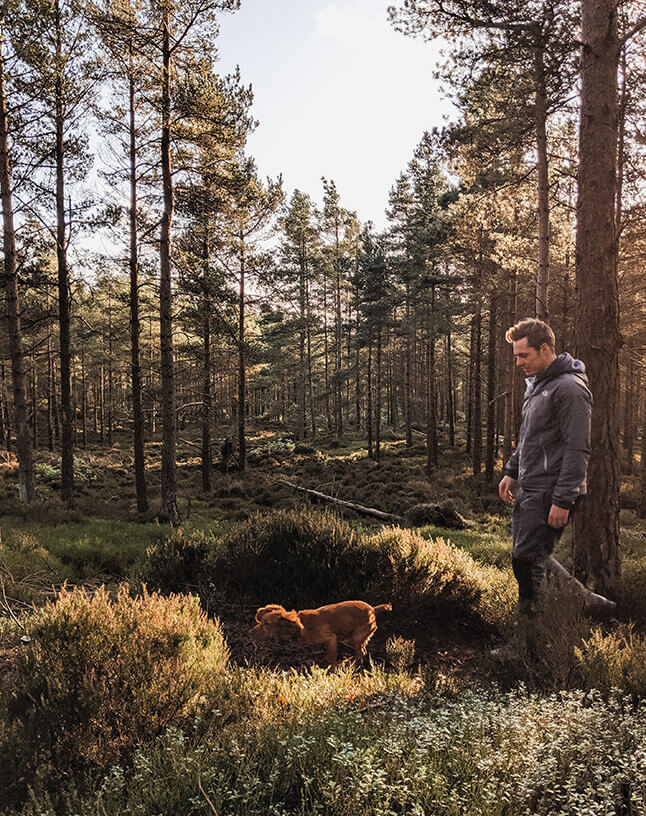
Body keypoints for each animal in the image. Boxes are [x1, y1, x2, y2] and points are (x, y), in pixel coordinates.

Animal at [249, 600, 392, 668]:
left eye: (267, 623)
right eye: (261, 621)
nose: (249, 632)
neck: (300, 626)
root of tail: (373, 609)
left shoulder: (331, 638)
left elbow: (331, 658)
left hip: (356, 638)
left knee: (361, 652)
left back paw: (350, 664)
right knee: (361, 652)